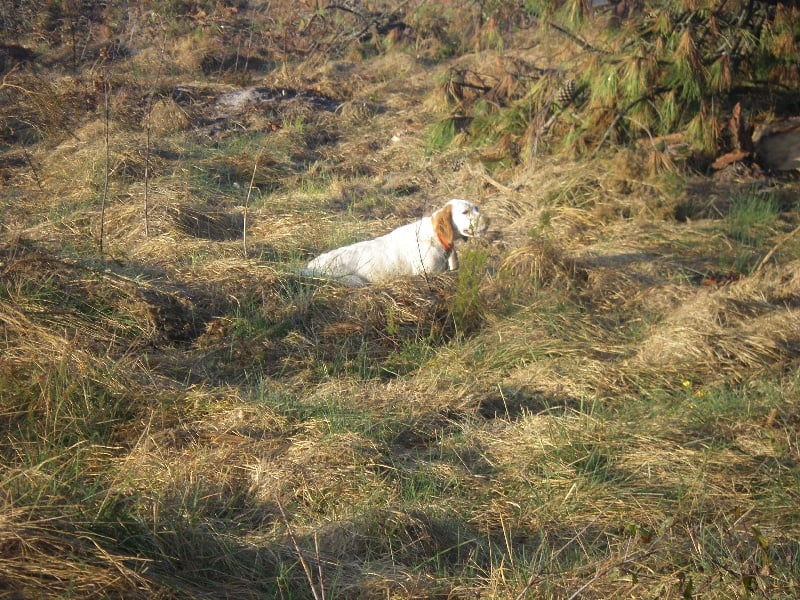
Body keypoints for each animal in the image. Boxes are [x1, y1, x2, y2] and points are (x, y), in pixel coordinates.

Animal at [304, 199, 488, 286]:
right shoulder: (427, 273)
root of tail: (309, 266)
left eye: (477, 208)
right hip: (354, 281)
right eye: (465, 212)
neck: (436, 237)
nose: (488, 220)